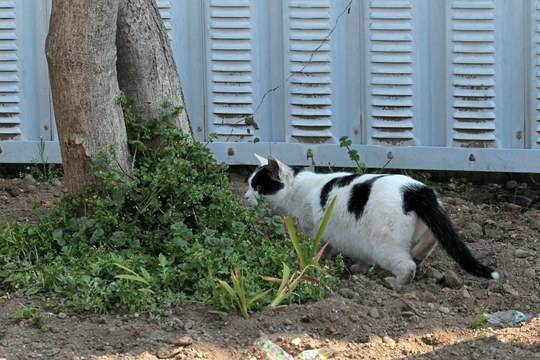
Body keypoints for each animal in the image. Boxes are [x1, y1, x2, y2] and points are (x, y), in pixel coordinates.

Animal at [245, 153, 498, 286]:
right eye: (249, 184)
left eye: (258, 187)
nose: (245, 196)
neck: (296, 189)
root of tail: (415, 189)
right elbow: (362, 258)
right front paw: (360, 268)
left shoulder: (315, 233)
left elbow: (318, 250)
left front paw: (316, 263)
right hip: (429, 222)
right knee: (430, 242)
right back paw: (418, 256)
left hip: (383, 243)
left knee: (406, 266)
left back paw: (395, 283)